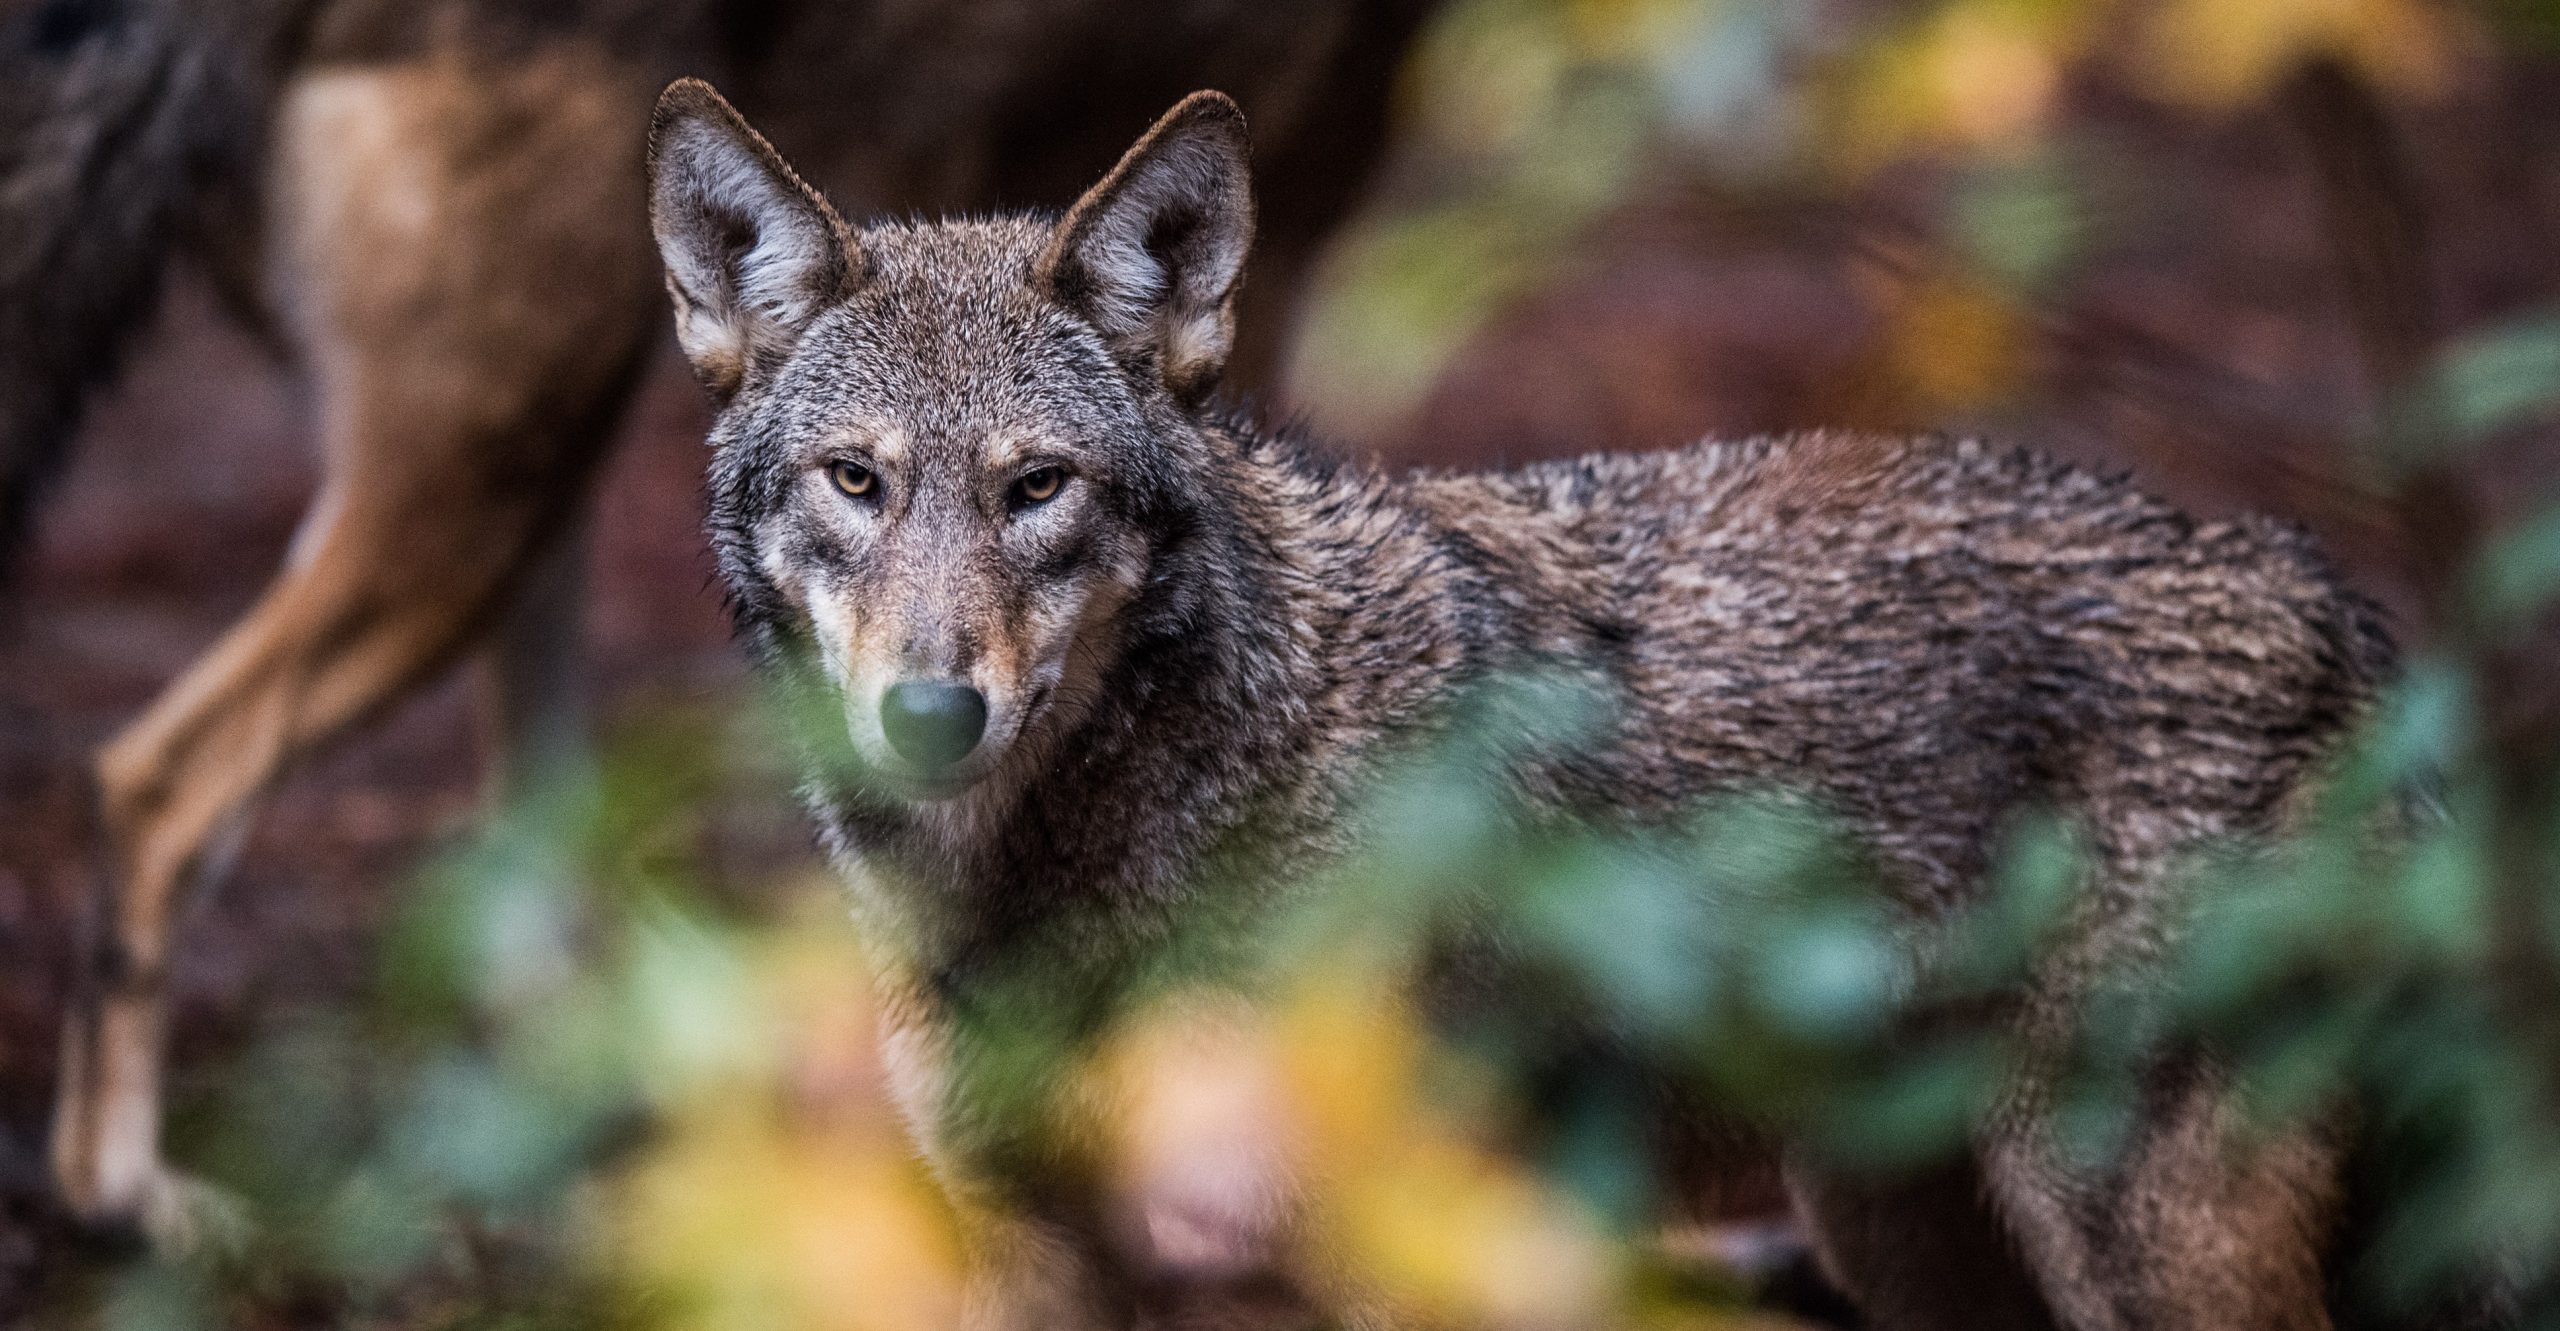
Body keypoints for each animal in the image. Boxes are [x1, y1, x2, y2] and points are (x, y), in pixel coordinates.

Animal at [15, 0, 1439, 1246]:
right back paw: (125, 1195)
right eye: (854, 479)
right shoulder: (1293, 220)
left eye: (1039, 486)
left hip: (530, 474)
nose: (932, 719)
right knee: (150, 780)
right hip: (487, 477)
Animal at [648, 78, 2418, 1331]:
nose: (930, 714)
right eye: (857, 481)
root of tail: (2331, 594)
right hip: (1899, 1232)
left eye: (1036, 488)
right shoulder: (1034, 1250)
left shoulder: (1415, 1253)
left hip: (2131, 1240)